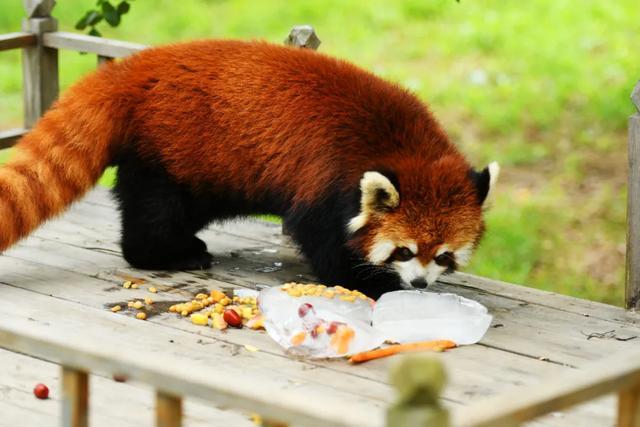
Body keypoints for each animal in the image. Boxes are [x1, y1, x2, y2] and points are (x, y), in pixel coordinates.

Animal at [0, 41, 500, 300]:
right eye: (403, 250)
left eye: (443, 256)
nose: (418, 281)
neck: (399, 146)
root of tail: (132, 70)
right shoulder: (324, 183)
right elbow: (323, 241)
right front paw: (370, 284)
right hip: (175, 153)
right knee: (155, 211)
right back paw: (170, 254)